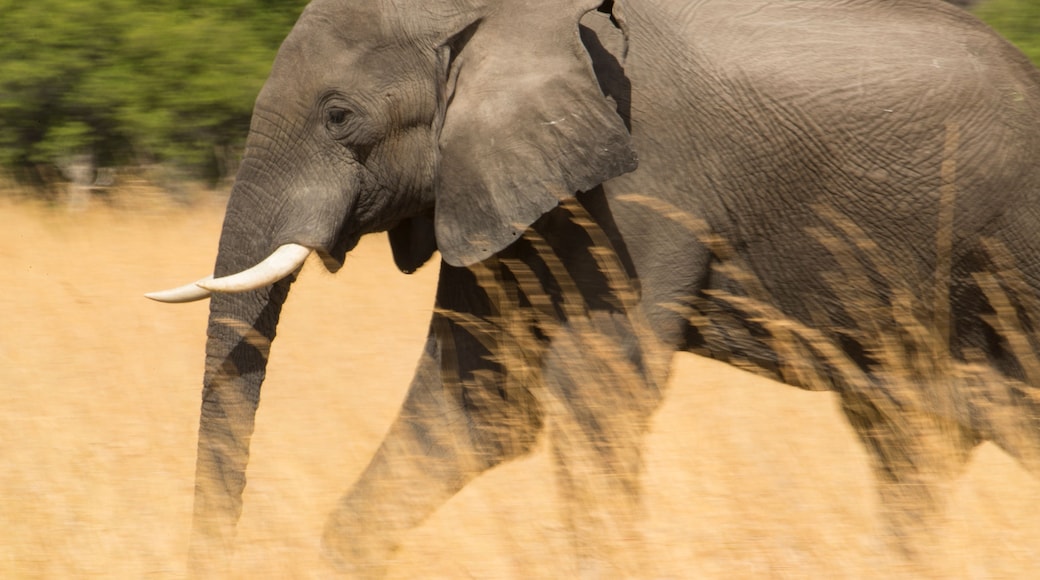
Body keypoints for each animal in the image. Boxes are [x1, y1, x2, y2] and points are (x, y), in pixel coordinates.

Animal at [147, 0, 1040, 575]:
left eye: (339, 116)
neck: (506, 17)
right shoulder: (498, 179)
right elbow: (477, 404)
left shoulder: (647, 179)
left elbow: (598, 391)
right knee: (916, 442)